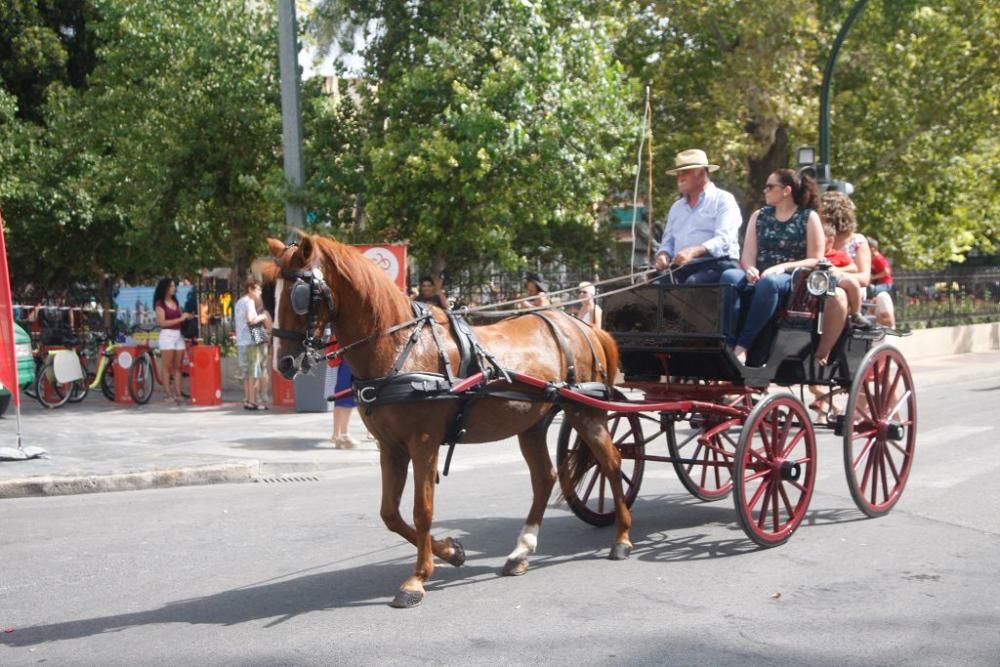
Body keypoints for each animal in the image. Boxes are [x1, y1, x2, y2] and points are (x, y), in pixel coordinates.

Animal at [258, 236, 632, 612]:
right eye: (270, 295)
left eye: (301, 294)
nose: (284, 363)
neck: (400, 348)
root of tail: (582, 326)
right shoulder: (390, 446)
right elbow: (390, 513)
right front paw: (451, 551)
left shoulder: (423, 443)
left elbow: (422, 509)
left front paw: (418, 578)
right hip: (532, 424)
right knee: (545, 478)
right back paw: (521, 552)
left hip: (585, 412)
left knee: (612, 463)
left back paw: (622, 538)